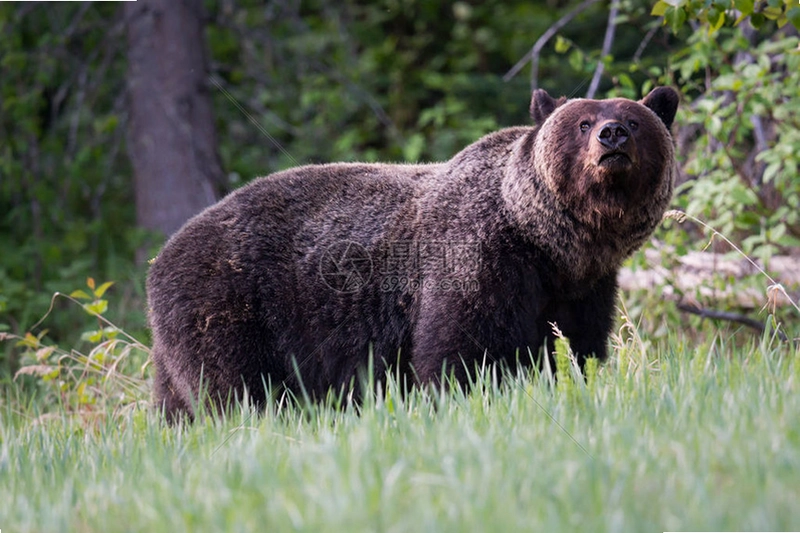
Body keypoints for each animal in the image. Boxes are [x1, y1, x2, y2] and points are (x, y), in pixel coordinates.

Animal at [147, 86, 679, 422]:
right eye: (583, 122)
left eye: (635, 120)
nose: (613, 135)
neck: (551, 245)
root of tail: (162, 255)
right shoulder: (477, 258)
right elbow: (458, 351)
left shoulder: (584, 288)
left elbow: (576, 348)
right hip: (228, 304)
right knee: (233, 388)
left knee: (177, 404)